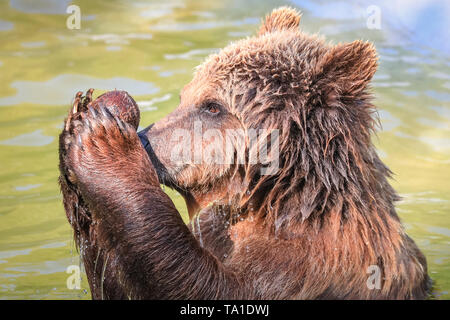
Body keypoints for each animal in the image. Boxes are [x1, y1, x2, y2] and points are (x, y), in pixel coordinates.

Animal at [58, 6, 430, 298]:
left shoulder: (306, 267)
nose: (146, 139)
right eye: (185, 95)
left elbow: (203, 283)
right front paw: (75, 128)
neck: (274, 198)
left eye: (212, 106)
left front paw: (104, 142)